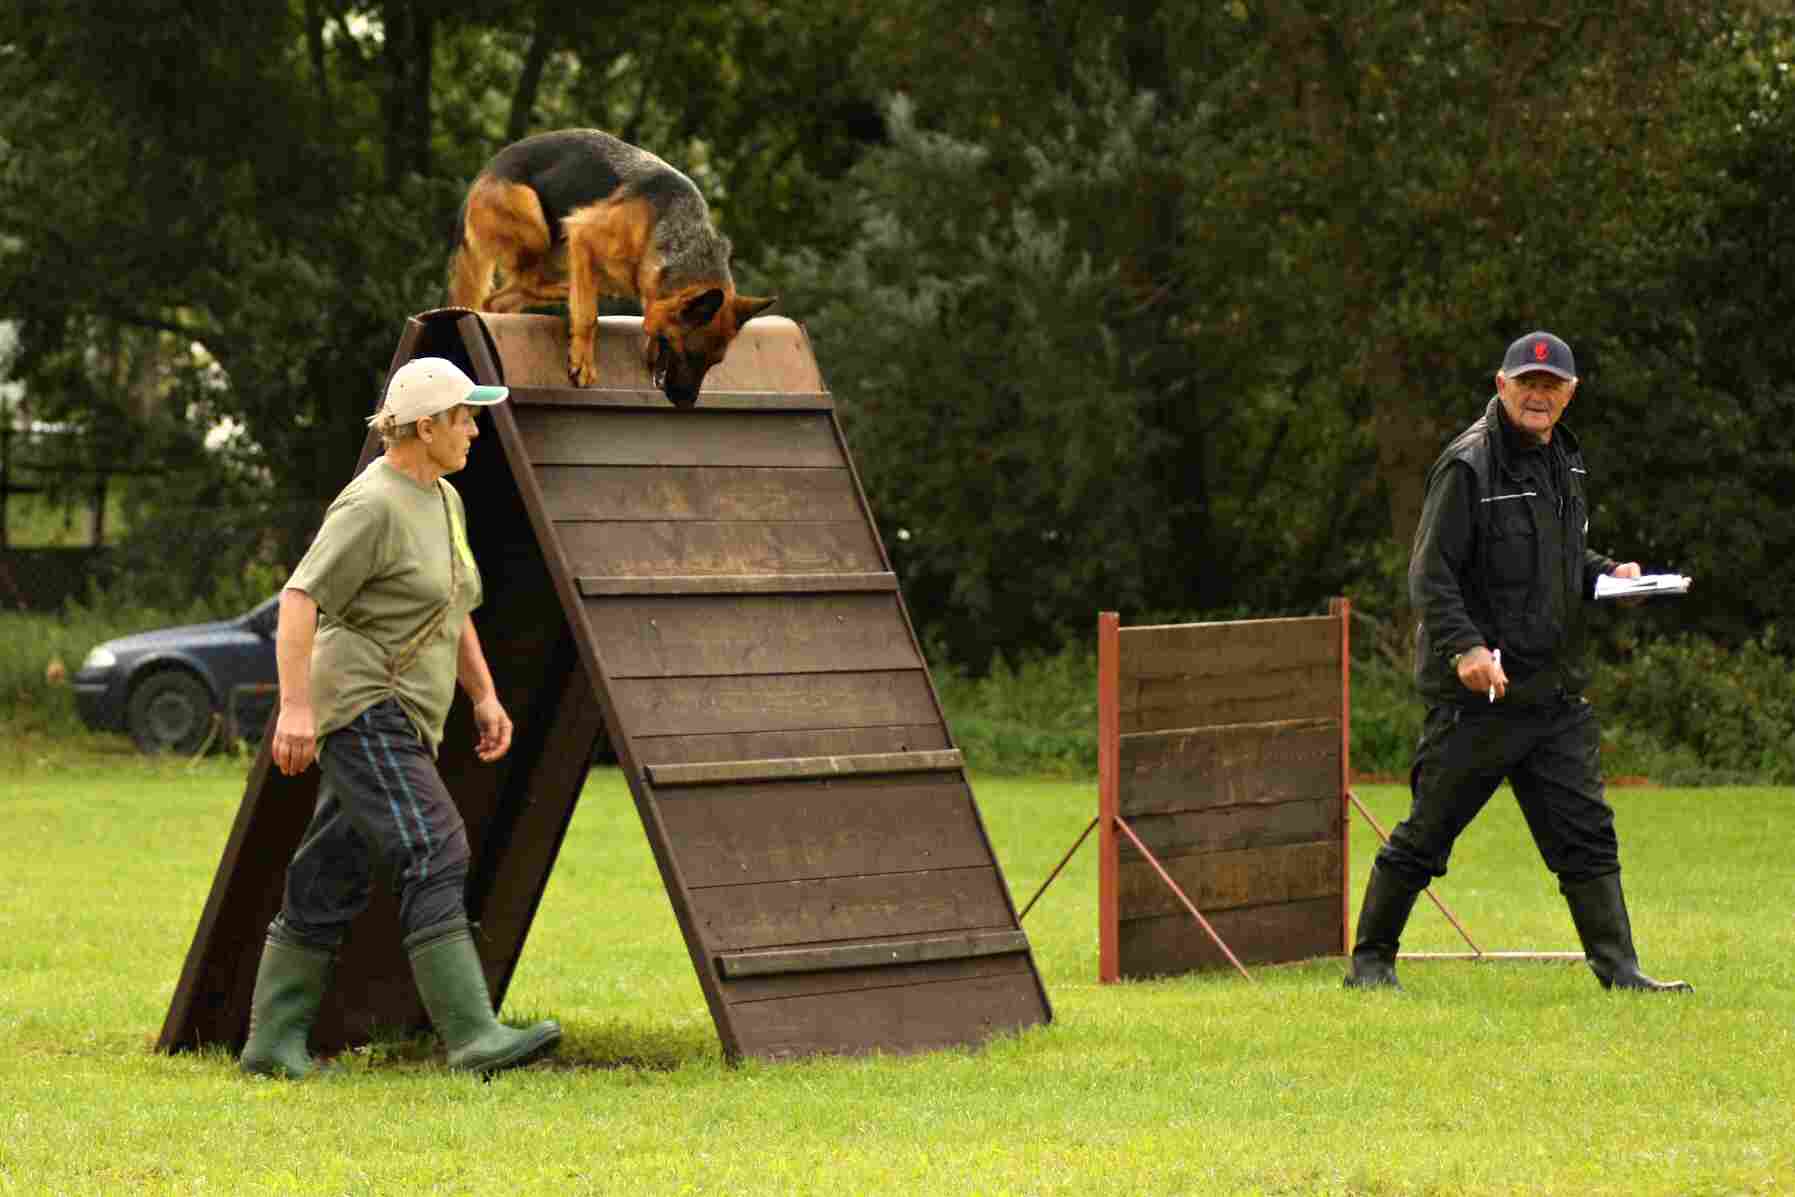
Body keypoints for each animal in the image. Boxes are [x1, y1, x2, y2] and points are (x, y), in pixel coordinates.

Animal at [445, 129, 775, 405]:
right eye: (690, 354)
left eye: (714, 363)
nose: (687, 404)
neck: (676, 232)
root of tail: (482, 175)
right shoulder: (582, 233)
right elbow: (588, 317)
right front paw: (583, 361)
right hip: (536, 222)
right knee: (526, 283)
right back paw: (568, 291)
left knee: (498, 300)